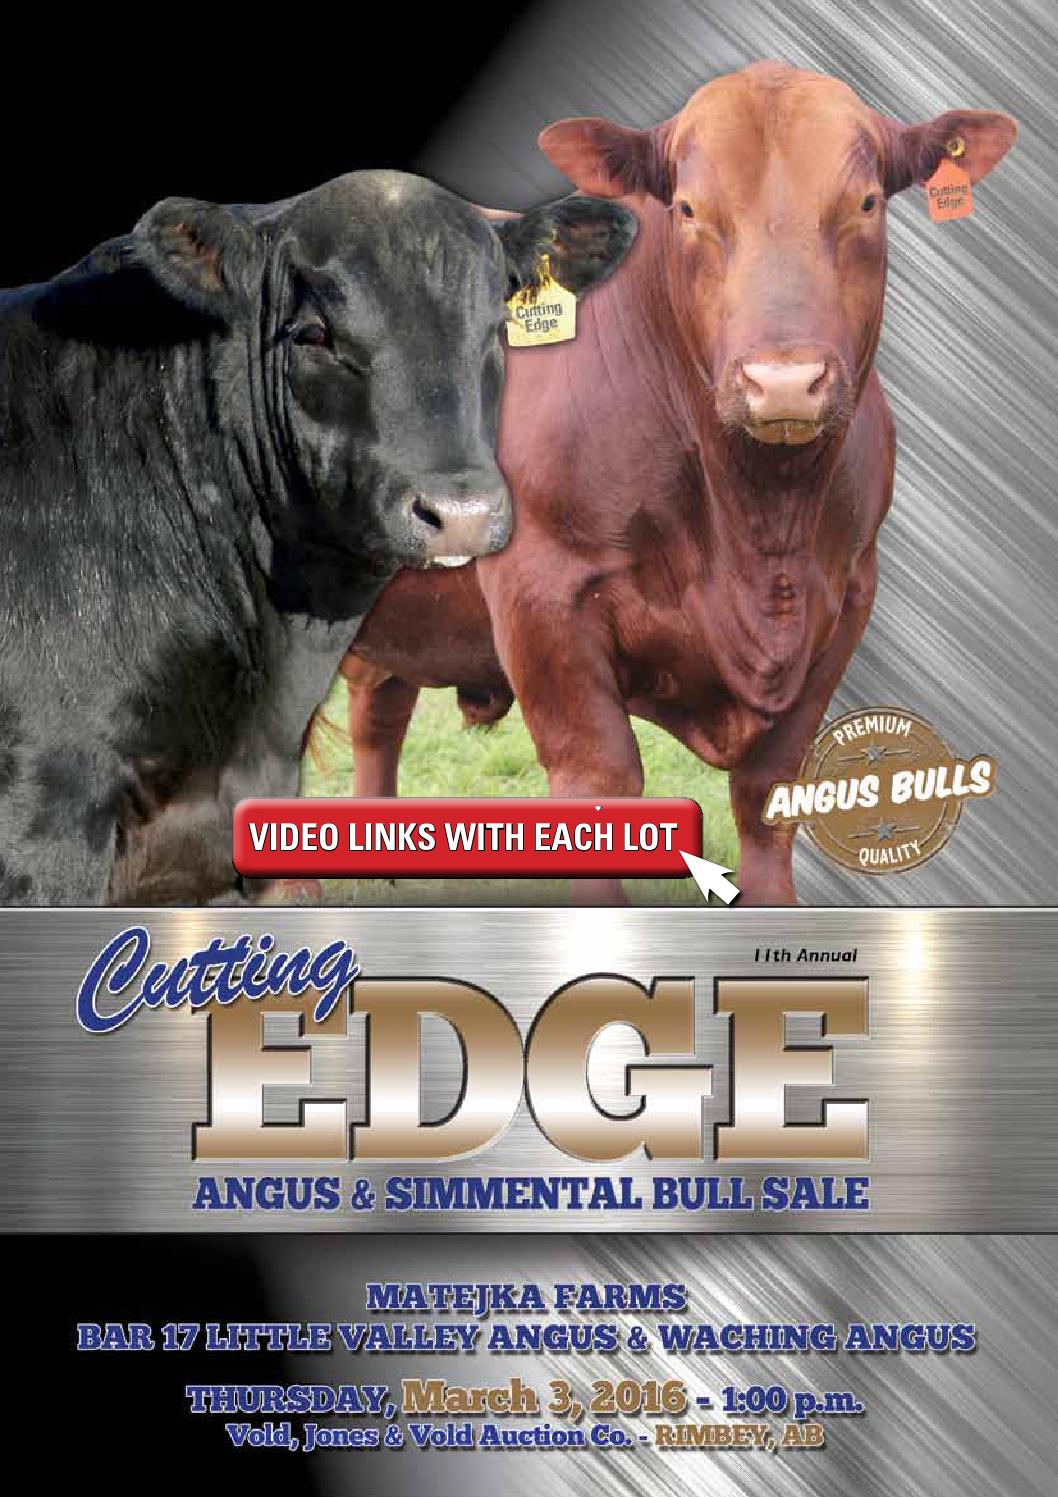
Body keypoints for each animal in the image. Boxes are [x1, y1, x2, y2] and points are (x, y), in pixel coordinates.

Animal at [324, 63, 1016, 904]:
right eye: (687, 208)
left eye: (866, 202)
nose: (782, 382)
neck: (759, 523)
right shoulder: (541, 597)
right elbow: (598, 782)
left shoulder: (848, 594)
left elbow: (771, 789)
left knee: (378, 711)